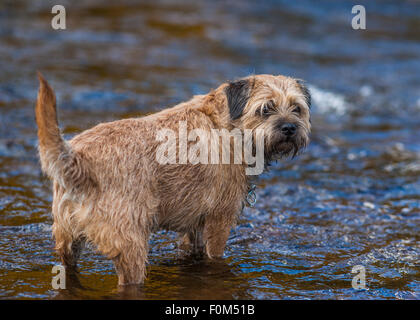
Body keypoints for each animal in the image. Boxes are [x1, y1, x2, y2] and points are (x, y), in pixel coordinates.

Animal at [36, 73, 310, 284]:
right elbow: (216, 255)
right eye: (265, 109)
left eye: (297, 108)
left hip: (66, 240)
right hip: (131, 245)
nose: (289, 127)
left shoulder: (194, 225)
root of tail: (78, 159)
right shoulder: (219, 221)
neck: (226, 125)